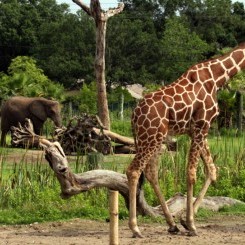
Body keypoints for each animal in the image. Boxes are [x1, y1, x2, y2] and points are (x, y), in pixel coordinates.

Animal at [126, 42, 245, 237]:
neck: (217, 77)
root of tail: (133, 115)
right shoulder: (202, 125)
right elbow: (191, 173)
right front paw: (191, 224)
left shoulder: (198, 130)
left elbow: (212, 170)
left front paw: (184, 221)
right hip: (150, 138)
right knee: (134, 171)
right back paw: (135, 228)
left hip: (155, 139)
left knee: (151, 173)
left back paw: (171, 224)